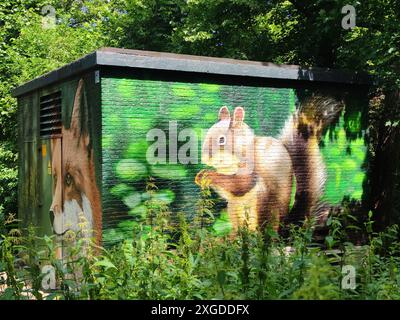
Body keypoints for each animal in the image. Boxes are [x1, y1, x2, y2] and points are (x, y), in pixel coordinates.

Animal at [195, 95, 342, 232]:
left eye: (221, 140)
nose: (205, 158)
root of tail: (284, 227)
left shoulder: (251, 168)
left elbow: (241, 185)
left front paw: (208, 175)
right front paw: (201, 176)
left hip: (263, 203)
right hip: (235, 206)